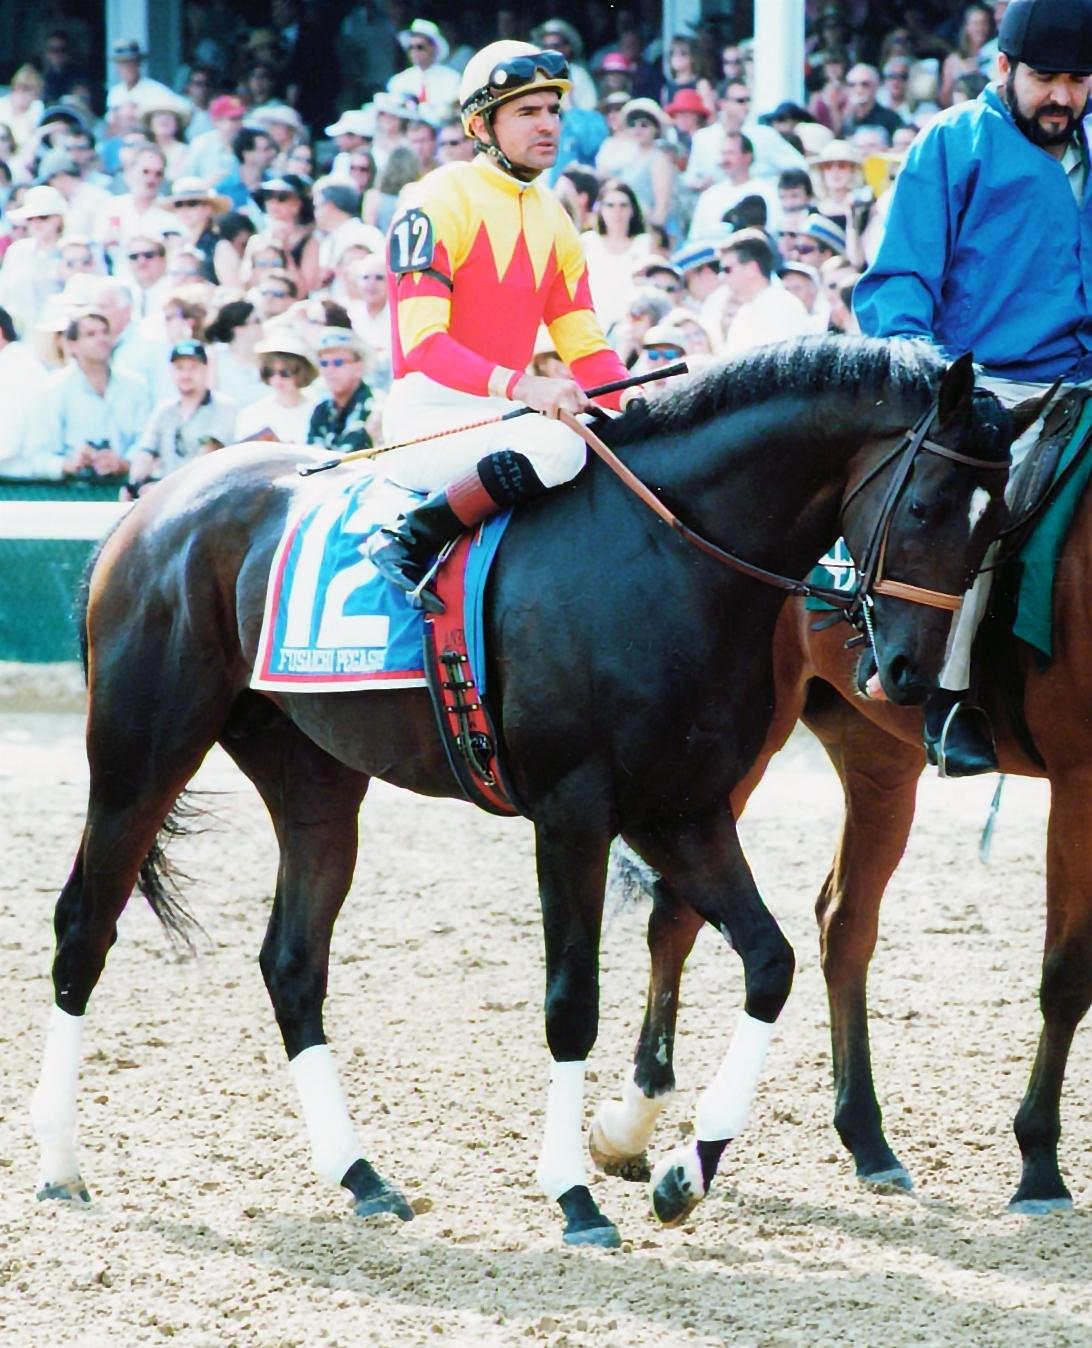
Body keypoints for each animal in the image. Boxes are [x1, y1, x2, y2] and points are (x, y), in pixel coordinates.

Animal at [29, 338, 1032, 1249]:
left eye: (998, 531)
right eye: (927, 504)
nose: (908, 674)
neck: (664, 554)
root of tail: (154, 505)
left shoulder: (682, 809)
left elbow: (770, 962)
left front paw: (683, 1169)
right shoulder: (574, 814)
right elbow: (571, 1001)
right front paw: (576, 1196)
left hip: (313, 782)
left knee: (292, 964)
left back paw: (361, 1177)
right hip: (141, 753)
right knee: (85, 925)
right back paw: (59, 1165)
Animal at [595, 470, 1092, 1218]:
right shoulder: (1079, 779)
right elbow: (1065, 975)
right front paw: (1039, 1167)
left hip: (877, 752)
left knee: (844, 922)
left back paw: (867, 1140)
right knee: (680, 918)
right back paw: (632, 1133)